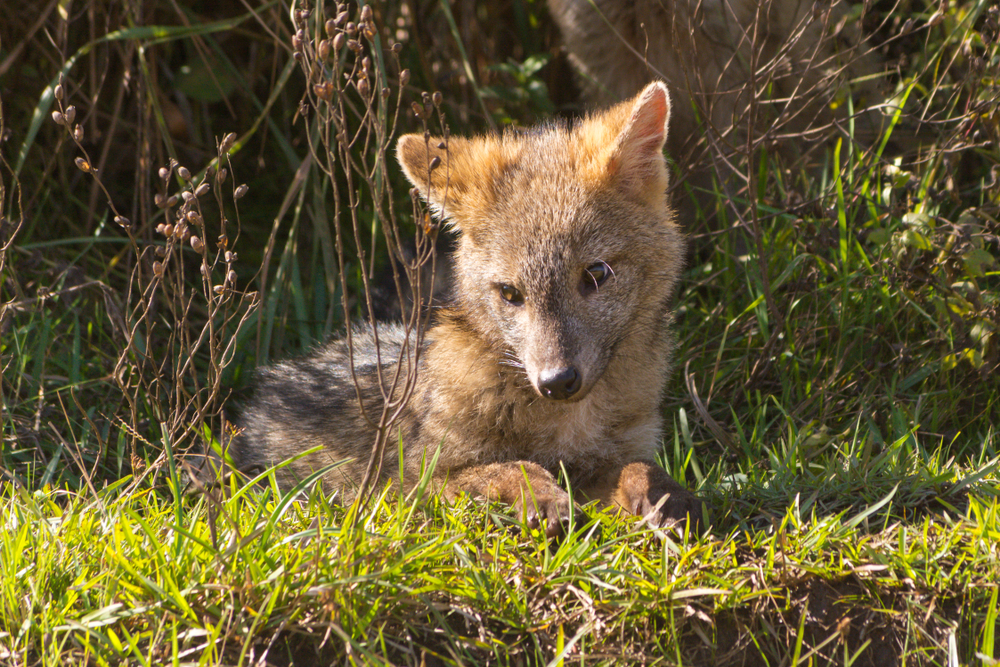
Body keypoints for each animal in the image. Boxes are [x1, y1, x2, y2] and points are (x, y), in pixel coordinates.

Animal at [229, 81, 700, 536]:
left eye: (596, 274)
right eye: (510, 293)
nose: (556, 381)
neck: (565, 424)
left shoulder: (612, 454)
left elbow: (640, 465)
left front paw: (665, 496)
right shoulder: (407, 487)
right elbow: (512, 466)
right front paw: (542, 496)